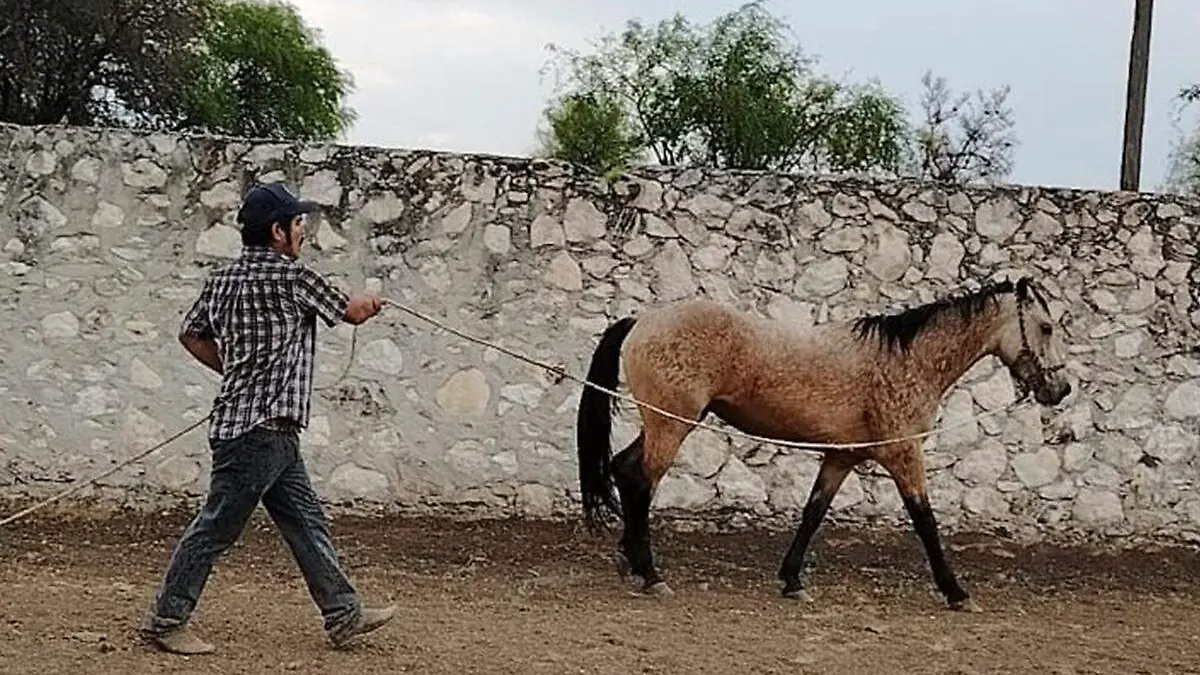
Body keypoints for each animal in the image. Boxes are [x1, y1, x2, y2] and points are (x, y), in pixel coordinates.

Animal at [574, 276, 1072, 612]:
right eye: (1046, 327)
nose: (1061, 389)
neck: (906, 359)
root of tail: (643, 320)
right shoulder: (904, 454)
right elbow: (925, 520)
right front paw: (956, 592)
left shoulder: (839, 458)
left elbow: (813, 513)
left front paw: (792, 581)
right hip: (671, 426)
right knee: (640, 481)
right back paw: (650, 574)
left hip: (667, 423)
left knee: (624, 470)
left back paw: (629, 561)